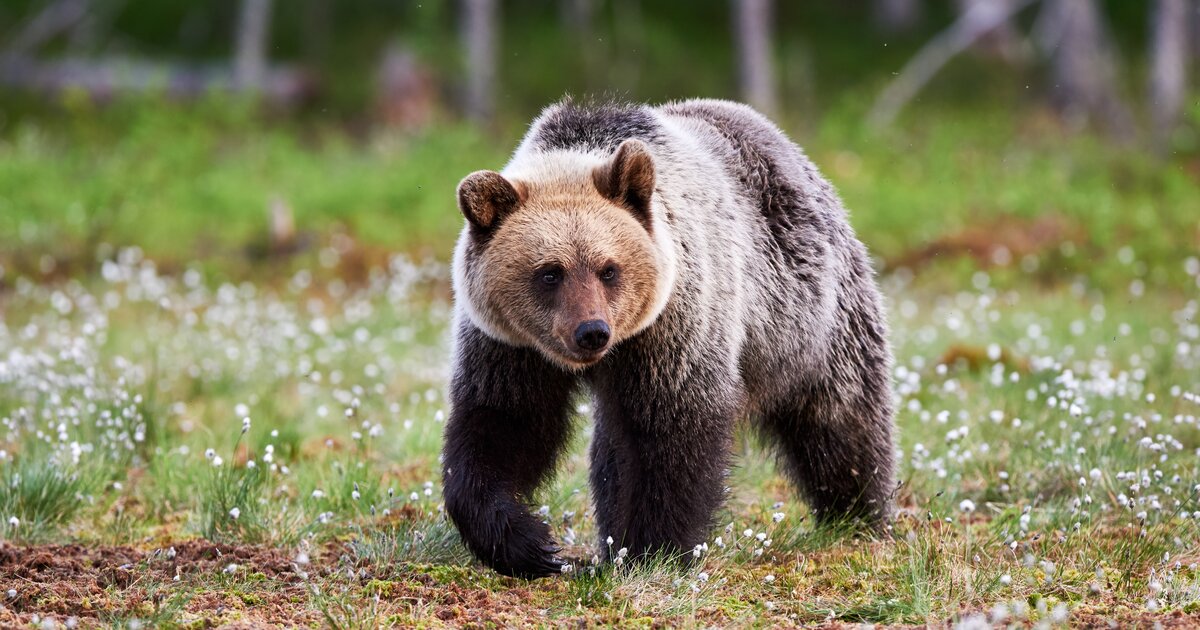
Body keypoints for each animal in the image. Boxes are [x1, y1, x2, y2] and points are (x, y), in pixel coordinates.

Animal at [441, 99, 892, 580]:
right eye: (549, 272)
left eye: (609, 269)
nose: (591, 331)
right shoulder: (510, 345)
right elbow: (503, 425)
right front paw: (531, 544)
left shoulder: (674, 327)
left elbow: (672, 434)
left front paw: (653, 549)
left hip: (810, 318)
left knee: (841, 420)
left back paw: (858, 513)